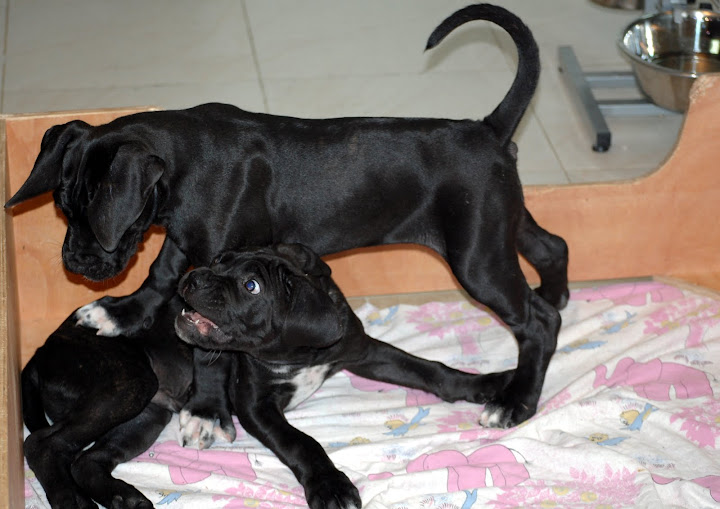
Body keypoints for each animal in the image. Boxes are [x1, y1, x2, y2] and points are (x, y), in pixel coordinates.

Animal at [6, 4, 567, 428]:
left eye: (94, 217)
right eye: (63, 208)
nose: (74, 265)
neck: (189, 160)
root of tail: (488, 129)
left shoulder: (216, 261)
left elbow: (207, 338)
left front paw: (206, 411)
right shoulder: (184, 241)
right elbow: (160, 278)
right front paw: (121, 314)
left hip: (476, 255)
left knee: (539, 322)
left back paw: (516, 402)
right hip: (499, 224)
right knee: (551, 247)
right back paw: (556, 293)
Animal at [21, 296, 208, 509]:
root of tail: (39, 352)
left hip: (146, 412)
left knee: (84, 460)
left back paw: (124, 499)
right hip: (132, 382)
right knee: (42, 444)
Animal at [174, 243, 517, 509]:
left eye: (251, 286)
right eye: (218, 260)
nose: (193, 277)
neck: (303, 354)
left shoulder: (365, 352)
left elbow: (430, 369)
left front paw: (487, 383)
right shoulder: (255, 405)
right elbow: (301, 442)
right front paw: (330, 485)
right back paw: (205, 414)